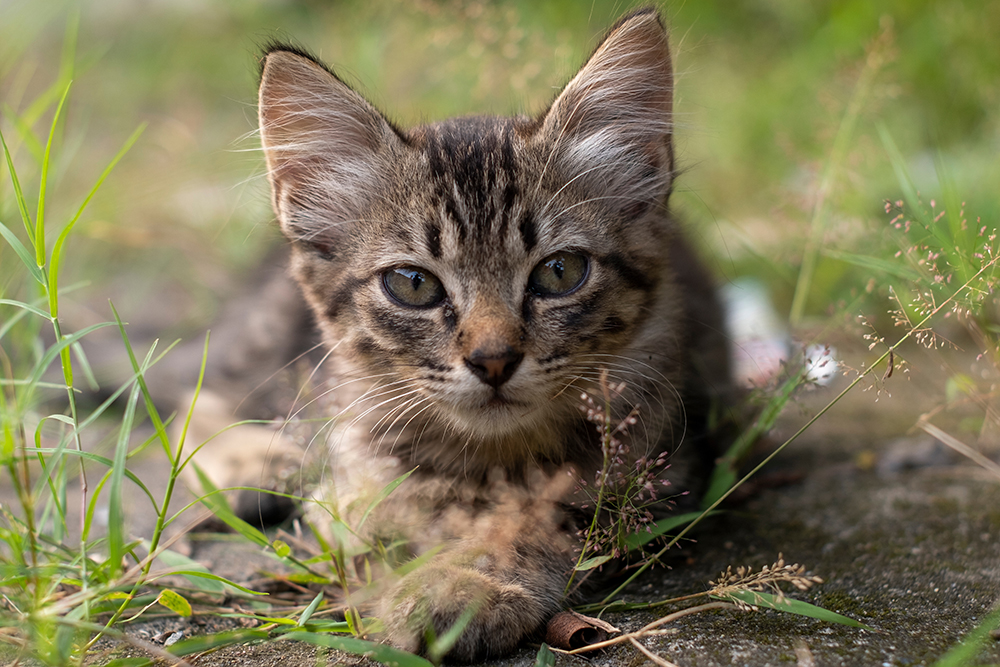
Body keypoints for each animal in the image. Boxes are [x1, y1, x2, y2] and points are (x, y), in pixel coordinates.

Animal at [254, 6, 732, 664]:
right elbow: (377, 521)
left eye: (560, 272)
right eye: (413, 285)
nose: (494, 359)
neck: (490, 458)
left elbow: (537, 518)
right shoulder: (350, 473)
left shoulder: (655, 471)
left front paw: (461, 582)